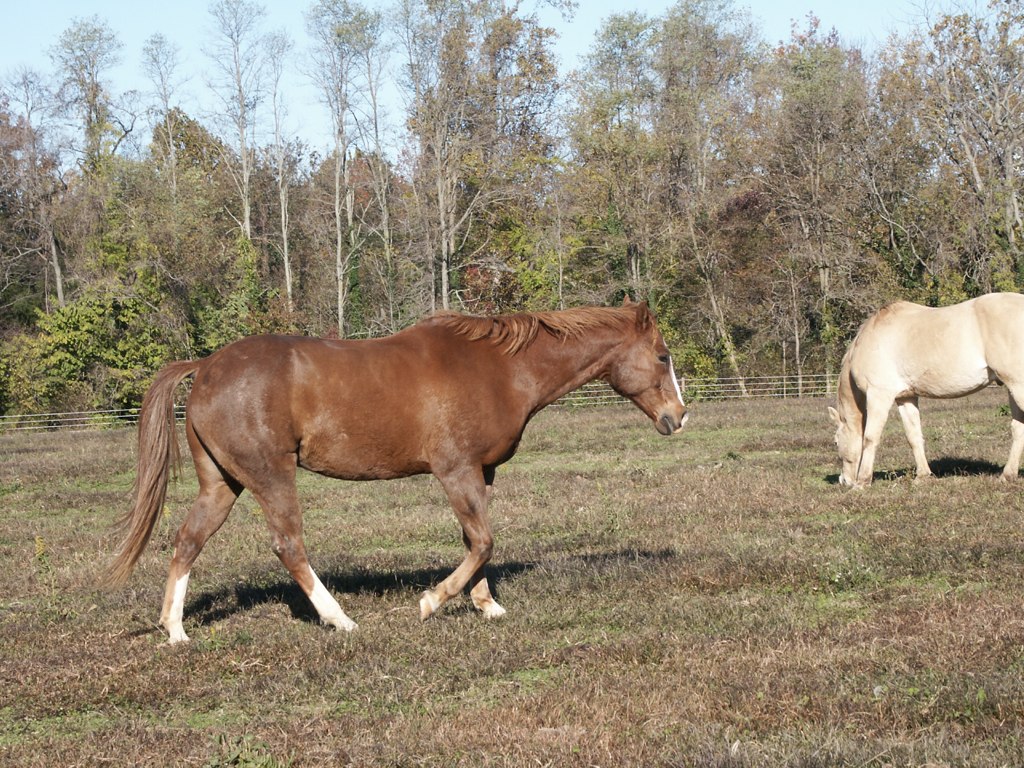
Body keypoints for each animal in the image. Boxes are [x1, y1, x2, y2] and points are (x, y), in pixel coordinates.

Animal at [105, 301, 688, 643]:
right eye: (662, 357)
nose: (678, 417)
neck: (502, 368)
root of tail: (204, 367)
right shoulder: (456, 470)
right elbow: (483, 541)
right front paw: (432, 602)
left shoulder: (479, 473)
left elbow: (476, 542)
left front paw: (487, 606)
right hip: (271, 477)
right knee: (289, 546)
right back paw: (339, 619)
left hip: (221, 484)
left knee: (187, 541)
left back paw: (175, 630)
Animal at [827, 290, 1024, 489]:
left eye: (835, 442)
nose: (844, 481)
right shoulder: (905, 398)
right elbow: (913, 436)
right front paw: (922, 476)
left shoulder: (878, 395)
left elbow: (870, 438)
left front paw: (862, 482)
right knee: (1018, 429)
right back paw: (1007, 475)